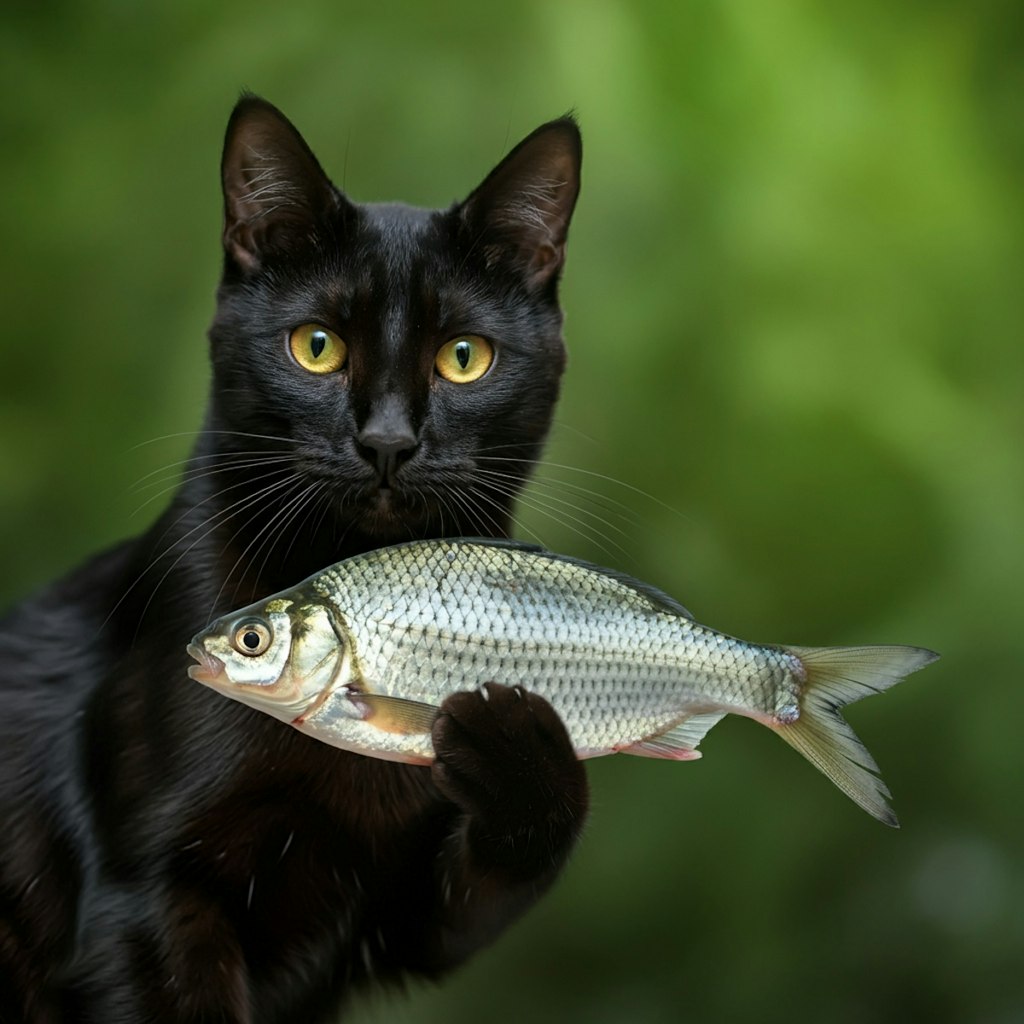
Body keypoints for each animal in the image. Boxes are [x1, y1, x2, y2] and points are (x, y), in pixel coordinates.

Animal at [0, 97, 589, 1024]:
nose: (387, 441)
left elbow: (526, 839)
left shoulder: (406, 920)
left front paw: (518, 737)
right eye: (316, 347)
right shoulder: (146, 903)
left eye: (463, 358)